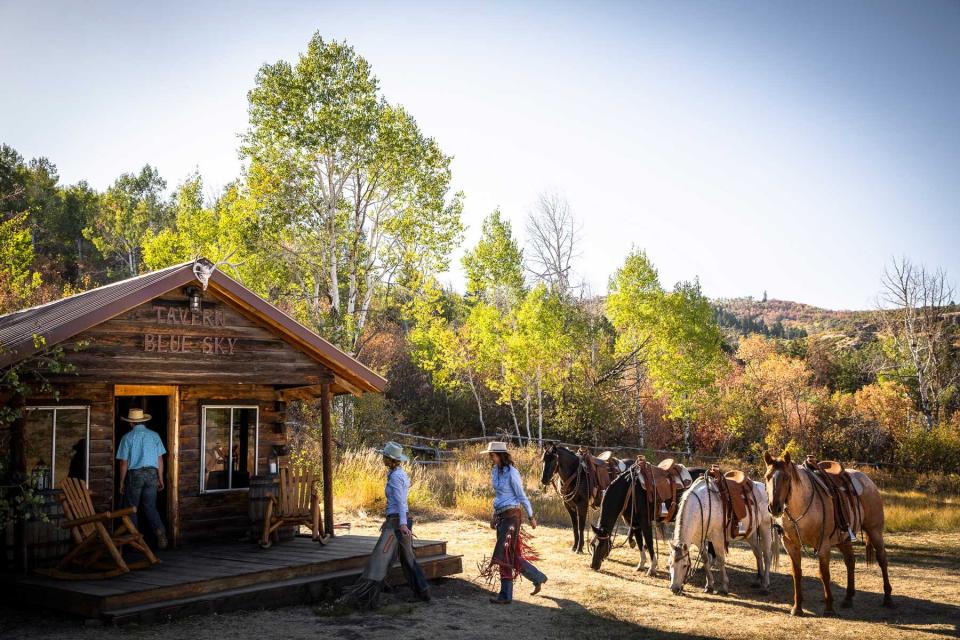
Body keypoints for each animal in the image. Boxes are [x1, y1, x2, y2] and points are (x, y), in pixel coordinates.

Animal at [764, 450, 892, 616]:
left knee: (882, 559)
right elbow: (796, 573)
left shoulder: (823, 545)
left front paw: (829, 608)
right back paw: (848, 598)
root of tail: (867, 480)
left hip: (875, 531)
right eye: (767, 477)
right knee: (850, 561)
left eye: (786, 477)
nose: (775, 508)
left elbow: (824, 574)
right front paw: (797, 608)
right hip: (844, 539)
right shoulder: (791, 545)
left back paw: (887, 598)